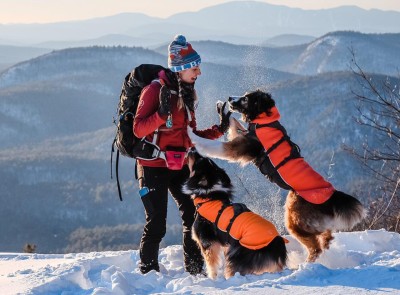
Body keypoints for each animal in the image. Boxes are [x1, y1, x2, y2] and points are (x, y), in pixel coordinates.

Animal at [189, 91, 368, 264]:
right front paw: (224, 112)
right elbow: (235, 125)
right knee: (326, 238)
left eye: (246, 99)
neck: (265, 119)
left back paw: (306, 265)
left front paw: (191, 135)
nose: (230, 98)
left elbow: (213, 146)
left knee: (316, 247)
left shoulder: (238, 147)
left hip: (295, 218)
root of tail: (332, 194)